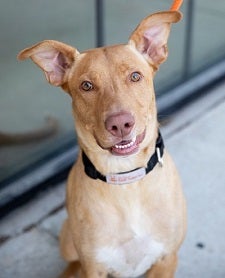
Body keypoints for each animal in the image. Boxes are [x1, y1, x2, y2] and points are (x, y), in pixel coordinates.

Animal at [17, 1, 186, 276]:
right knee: (72, 262)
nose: (120, 124)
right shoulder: (93, 265)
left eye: (135, 76)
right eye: (86, 86)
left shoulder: (167, 258)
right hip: (68, 240)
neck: (126, 179)